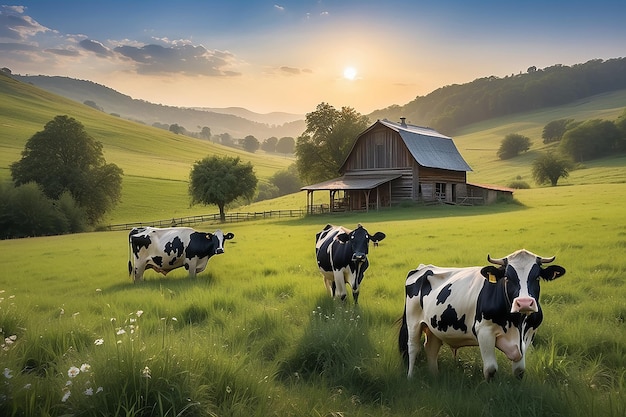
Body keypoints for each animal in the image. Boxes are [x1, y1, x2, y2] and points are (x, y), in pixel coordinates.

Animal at [398, 249, 564, 378]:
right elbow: (490, 369)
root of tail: (423, 267)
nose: (524, 303)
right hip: (413, 321)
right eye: (507, 277)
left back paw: (434, 376)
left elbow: (519, 370)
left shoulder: (528, 333)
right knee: (413, 348)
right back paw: (410, 377)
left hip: (433, 327)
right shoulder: (484, 331)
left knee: (431, 348)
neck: (516, 323)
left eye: (537, 277)